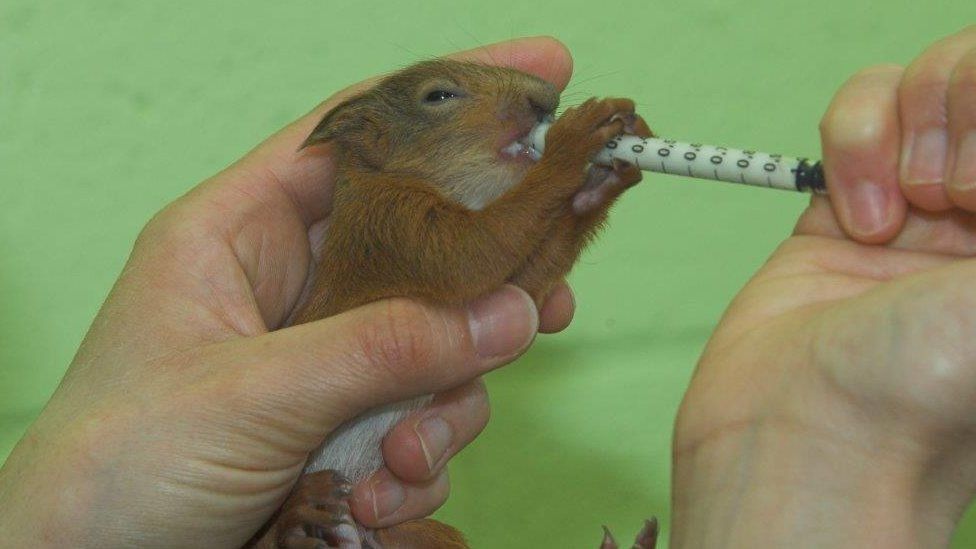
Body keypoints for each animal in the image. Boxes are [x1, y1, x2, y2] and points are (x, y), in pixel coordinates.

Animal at [247, 59, 657, 549]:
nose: (546, 99)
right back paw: (299, 516)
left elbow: (524, 281)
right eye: (438, 96)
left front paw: (606, 176)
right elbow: (472, 253)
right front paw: (574, 140)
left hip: (419, 536)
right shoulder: (390, 228)